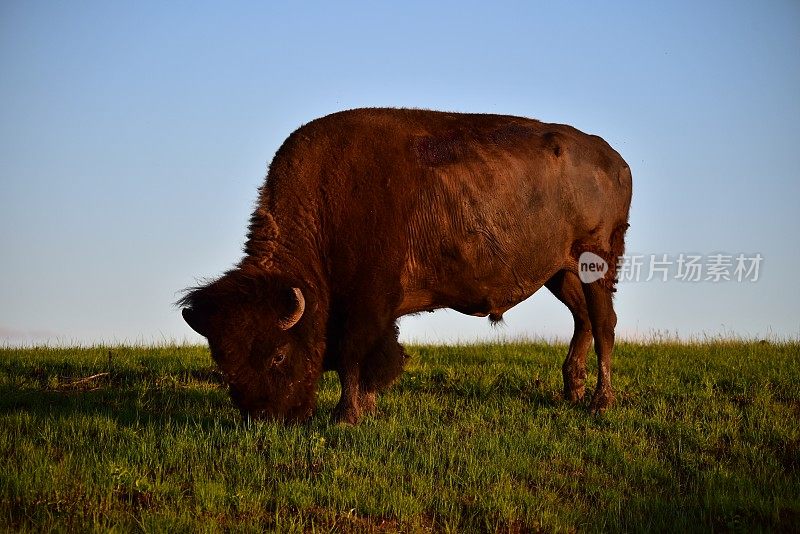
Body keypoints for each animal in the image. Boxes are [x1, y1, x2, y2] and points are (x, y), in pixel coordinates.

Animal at [180, 110, 632, 428]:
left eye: (277, 354)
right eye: (225, 363)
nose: (268, 419)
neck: (325, 206)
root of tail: (613, 159)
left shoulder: (365, 305)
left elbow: (355, 356)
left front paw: (346, 417)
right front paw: (365, 409)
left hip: (596, 260)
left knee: (603, 322)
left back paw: (600, 403)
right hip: (560, 271)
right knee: (582, 318)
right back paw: (572, 392)